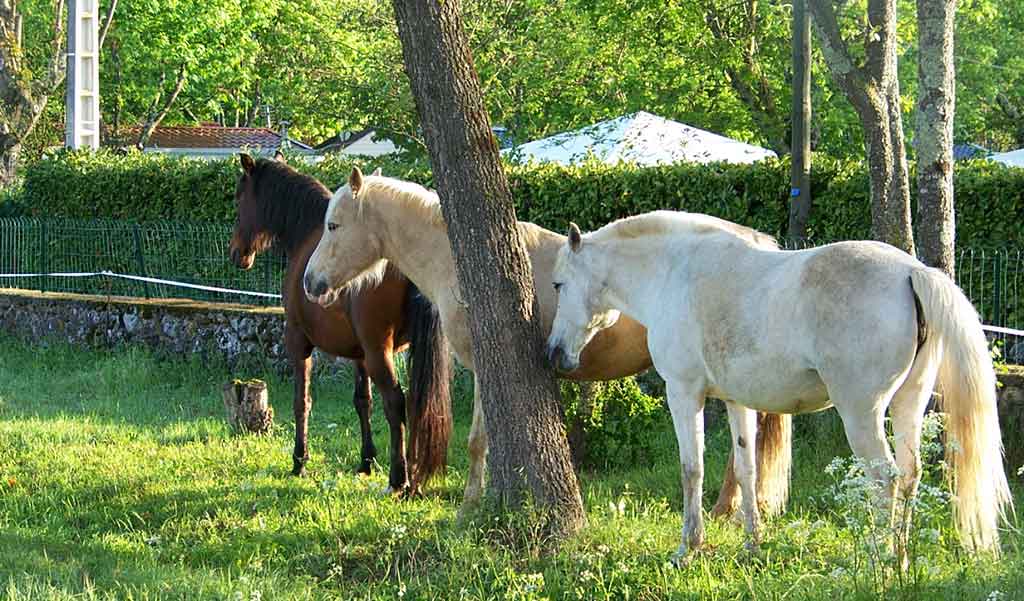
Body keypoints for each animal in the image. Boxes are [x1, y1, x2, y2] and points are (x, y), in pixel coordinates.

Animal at [230, 153, 450, 493]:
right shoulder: (359, 354)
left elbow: (301, 401)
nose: (236, 253)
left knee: (396, 403)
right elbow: (363, 402)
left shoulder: (298, 341)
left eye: (240, 198)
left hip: (379, 352)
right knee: (418, 403)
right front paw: (366, 461)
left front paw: (299, 461)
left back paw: (399, 478)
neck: (307, 231)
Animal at [548, 210, 1011, 561]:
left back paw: (881, 559)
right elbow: (747, 469)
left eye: (558, 284)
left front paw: (688, 548)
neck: (674, 272)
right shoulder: (735, 402)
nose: (553, 354)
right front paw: (752, 543)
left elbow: (692, 469)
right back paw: (901, 555)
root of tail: (912, 272)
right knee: (910, 474)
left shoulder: (683, 393)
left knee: (886, 477)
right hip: (907, 404)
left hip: (861, 414)